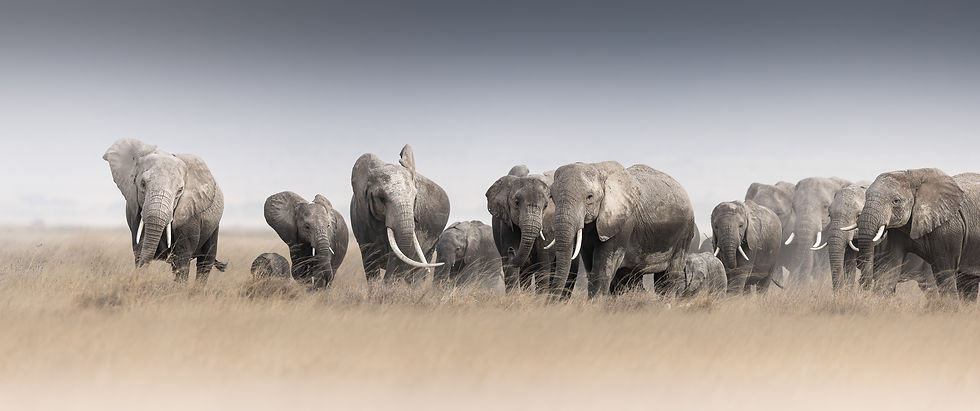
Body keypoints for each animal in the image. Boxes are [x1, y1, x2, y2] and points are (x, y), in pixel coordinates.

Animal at [103, 139, 225, 283]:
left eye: (180, 190)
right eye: (142, 183)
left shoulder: (189, 217)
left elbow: (182, 259)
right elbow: (140, 250)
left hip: (213, 226)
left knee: (205, 262)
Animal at [486, 164, 563, 294]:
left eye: (546, 206)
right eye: (516, 203)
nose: (511, 250)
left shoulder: (548, 227)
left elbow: (543, 266)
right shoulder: (506, 225)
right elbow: (510, 269)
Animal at [549, 161, 695, 298]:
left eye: (589, 197)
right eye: (552, 198)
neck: (598, 169)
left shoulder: (623, 221)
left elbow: (603, 267)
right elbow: (590, 267)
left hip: (685, 232)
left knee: (668, 277)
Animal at [857, 168, 980, 300]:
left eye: (896, 201)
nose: (862, 284)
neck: (912, 175)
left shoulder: (948, 229)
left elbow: (944, 272)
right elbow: (888, 269)